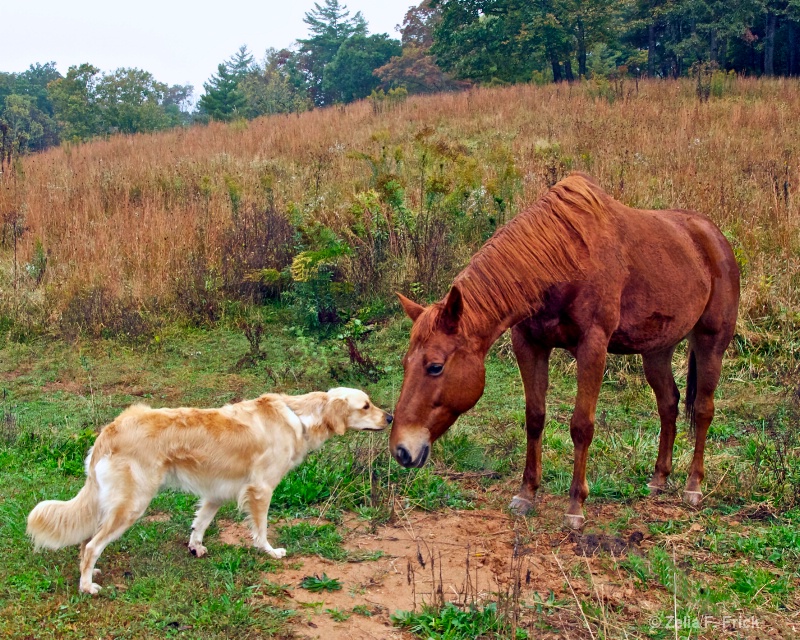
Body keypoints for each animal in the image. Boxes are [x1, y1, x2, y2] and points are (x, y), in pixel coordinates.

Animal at [29, 388, 392, 592]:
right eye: (366, 405)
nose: (389, 417)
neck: (299, 416)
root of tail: (111, 428)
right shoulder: (260, 489)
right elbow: (261, 529)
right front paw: (269, 551)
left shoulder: (217, 492)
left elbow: (200, 524)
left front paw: (196, 547)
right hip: (132, 505)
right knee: (91, 545)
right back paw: (87, 586)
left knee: (86, 544)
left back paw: (89, 573)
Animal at [388, 172, 736, 528]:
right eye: (405, 363)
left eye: (435, 366)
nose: (401, 449)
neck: (563, 259)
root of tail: (713, 235)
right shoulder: (529, 344)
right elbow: (534, 417)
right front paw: (526, 494)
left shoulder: (593, 347)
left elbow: (582, 425)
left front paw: (575, 506)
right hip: (657, 350)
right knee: (668, 404)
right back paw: (659, 479)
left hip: (711, 341)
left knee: (704, 409)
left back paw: (693, 486)